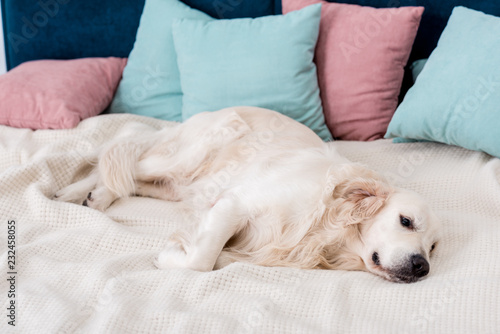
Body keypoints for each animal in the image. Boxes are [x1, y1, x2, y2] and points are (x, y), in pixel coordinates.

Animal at [52, 106, 440, 282]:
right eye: (405, 221)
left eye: (433, 248)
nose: (422, 267)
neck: (327, 227)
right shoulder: (232, 205)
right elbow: (202, 260)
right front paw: (169, 257)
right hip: (185, 157)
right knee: (120, 150)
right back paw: (74, 191)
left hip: (176, 185)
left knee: (127, 175)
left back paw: (96, 196)